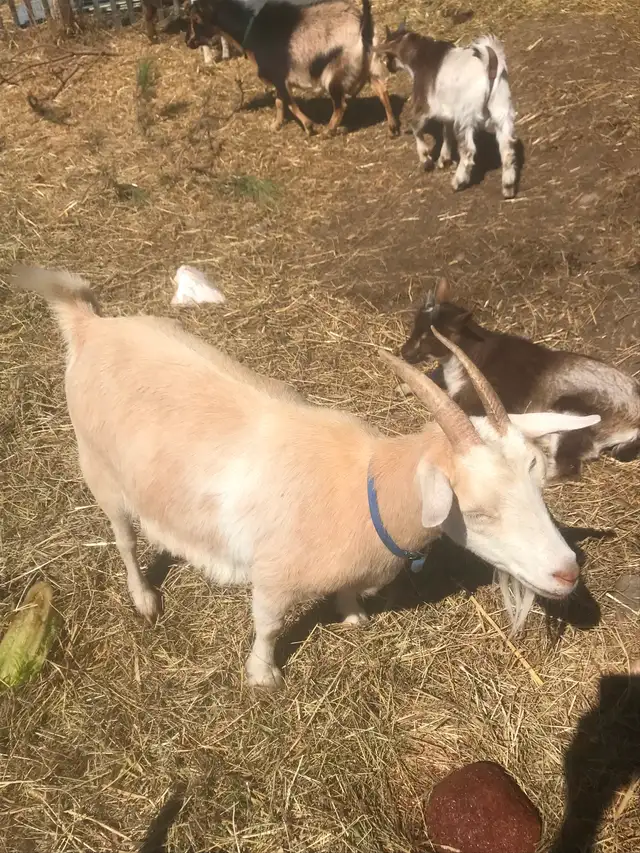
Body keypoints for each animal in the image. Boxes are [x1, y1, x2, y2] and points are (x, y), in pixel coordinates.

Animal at [14, 266, 600, 689]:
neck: (367, 488)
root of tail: (89, 325)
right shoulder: (273, 575)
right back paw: (143, 599)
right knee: (124, 538)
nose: (567, 573)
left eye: (538, 487)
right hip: (99, 470)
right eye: (475, 511)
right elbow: (268, 625)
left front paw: (352, 616)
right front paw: (262, 676)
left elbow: (347, 596)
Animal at [185, 0, 399, 137]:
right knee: (382, 90)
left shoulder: (277, 75)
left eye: (196, 18)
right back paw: (392, 127)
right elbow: (280, 101)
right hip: (372, 66)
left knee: (341, 105)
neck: (249, 28)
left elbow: (288, 102)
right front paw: (275, 125)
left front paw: (309, 127)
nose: (188, 41)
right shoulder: (278, 78)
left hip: (334, 74)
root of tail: (364, 26)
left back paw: (328, 131)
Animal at [374, 24, 517, 198]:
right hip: (501, 107)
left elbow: (415, 126)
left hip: (465, 116)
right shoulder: (447, 111)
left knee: (468, 151)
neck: (420, 58)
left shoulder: (425, 105)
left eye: (388, 54)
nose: (389, 67)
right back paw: (508, 187)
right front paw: (444, 160)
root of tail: (489, 63)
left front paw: (426, 160)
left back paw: (458, 182)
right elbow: (446, 132)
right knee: (507, 147)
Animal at [401, 278, 640, 481]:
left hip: (577, 417)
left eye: (429, 337)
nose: (404, 352)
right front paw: (403, 386)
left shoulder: (479, 399)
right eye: (415, 327)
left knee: (567, 468)